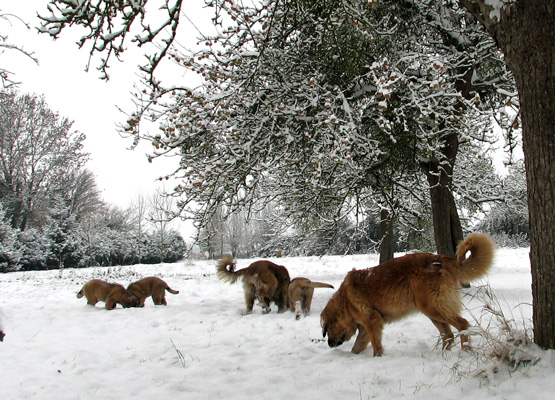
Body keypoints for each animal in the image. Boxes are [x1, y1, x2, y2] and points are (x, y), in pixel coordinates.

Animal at [322, 233, 496, 358]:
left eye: (327, 328)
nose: (329, 344)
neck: (345, 300)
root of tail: (438, 259)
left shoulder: (371, 322)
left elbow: (376, 346)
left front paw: (377, 358)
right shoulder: (366, 328)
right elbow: (357, 346)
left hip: (433, 308)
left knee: (462, 325)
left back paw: (465, 350)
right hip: (433, 312)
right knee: (448, 335)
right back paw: (442, 355)